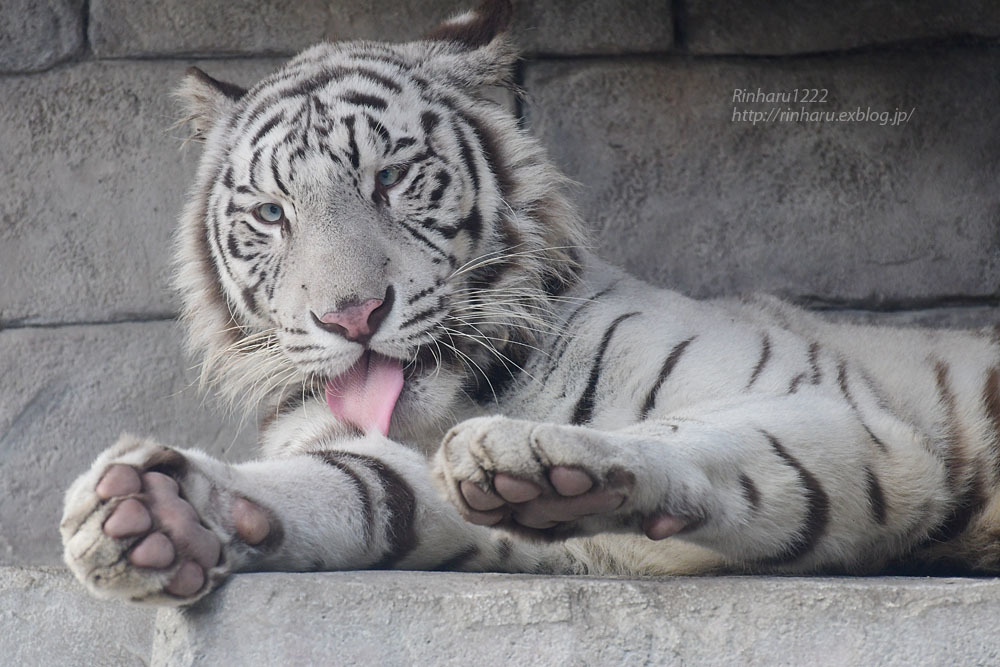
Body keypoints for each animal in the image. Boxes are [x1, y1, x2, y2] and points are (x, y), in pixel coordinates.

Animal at [60, 0, 1000, 604]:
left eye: (390, 177)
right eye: (271, 213)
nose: (351, 316)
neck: (467, 393)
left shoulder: (856, 423)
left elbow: (690, 429)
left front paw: (536, 455)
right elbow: (354, 486)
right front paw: (160, 513)